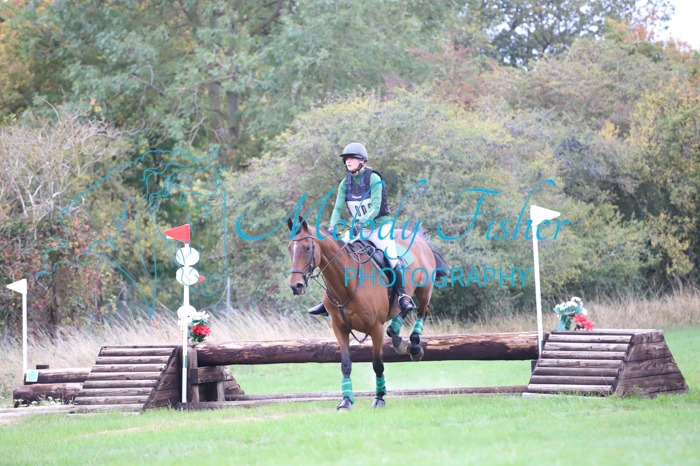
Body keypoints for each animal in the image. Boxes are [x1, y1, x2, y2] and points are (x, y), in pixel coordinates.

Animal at [286, 216, 449, 410]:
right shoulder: (339, 327)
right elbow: (345, 364)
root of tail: (416, 237)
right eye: (290, 248)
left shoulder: (375, 328)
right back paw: (397, 338)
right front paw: (346, 401)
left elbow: (378, 365)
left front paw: (379, 398)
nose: (296, 286)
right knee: (402, 310)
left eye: (307, 248)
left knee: (422, 310)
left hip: (425, 290)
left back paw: (415, 347)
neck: (347, 285)